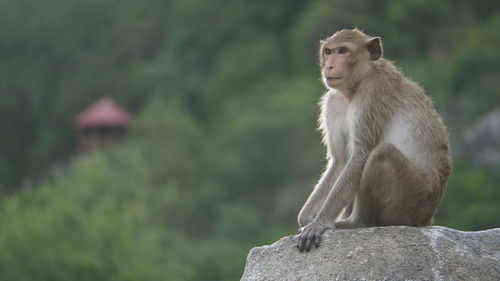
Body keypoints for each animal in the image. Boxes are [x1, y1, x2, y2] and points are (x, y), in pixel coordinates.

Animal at [296, 29, 454, 252]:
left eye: (342, 51)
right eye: (328, 51)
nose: (329, 65)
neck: (354, 87)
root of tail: (427, 218)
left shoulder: (372, 92)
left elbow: (360, 156)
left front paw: (319, 222)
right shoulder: (332, 102)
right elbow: (340, 161)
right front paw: (307, 217)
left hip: (415, 199)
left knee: (382, 152)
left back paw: (356, 223)